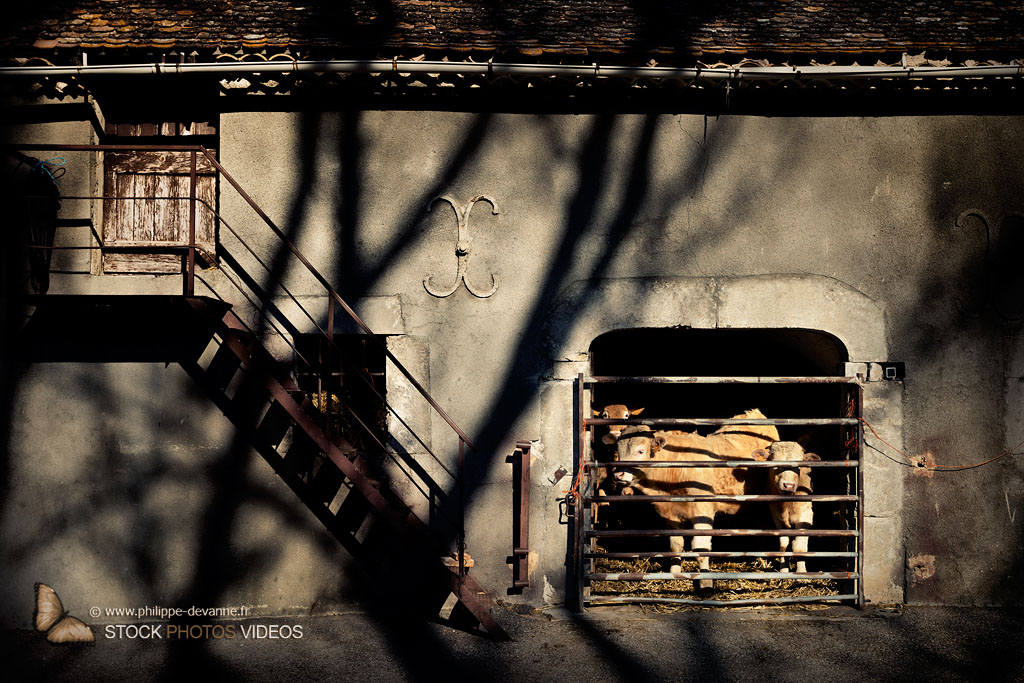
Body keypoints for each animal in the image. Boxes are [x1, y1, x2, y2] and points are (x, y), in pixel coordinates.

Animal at [606, 411, 774, 589]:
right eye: (618, 451)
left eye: (640, 451)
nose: (618, 475)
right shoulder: (670, 514)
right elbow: (675, 545)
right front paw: (674, 573)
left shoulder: (702, 512)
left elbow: (701, 548)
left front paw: (705, 582)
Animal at [753, 440, 823, 573]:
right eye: (774, 464)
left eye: (798, 465)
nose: (789, 485)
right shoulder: (777, 517)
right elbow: (783, 545)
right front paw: (784, 571)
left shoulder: (805, 516)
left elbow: (799, 546)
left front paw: (801, 572)